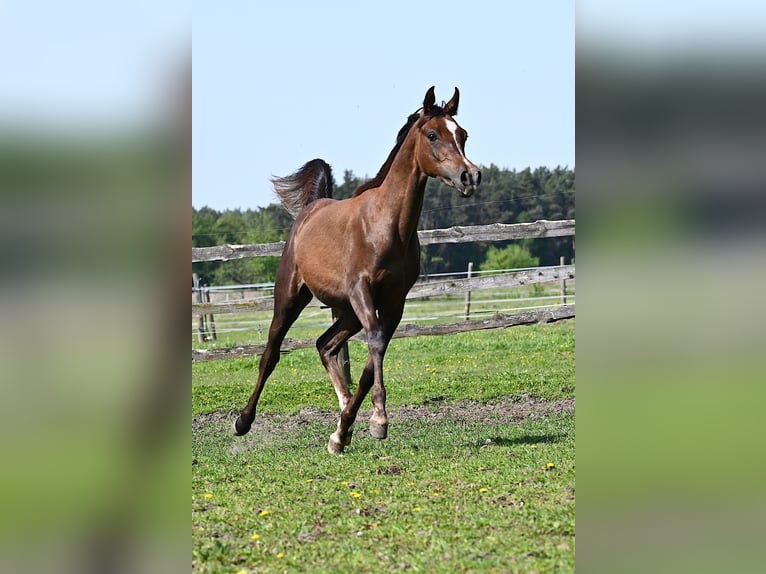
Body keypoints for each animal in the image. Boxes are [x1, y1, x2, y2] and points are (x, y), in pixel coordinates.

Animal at [232, 86, 480, 454]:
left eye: (463, 134)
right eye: (433, 135)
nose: (470, 176)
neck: (387, 225)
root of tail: (310, 209)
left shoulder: (393, 302)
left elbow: (374, 352)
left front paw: (345, 429)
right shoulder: (362, 290)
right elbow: (374, 341)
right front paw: (378, 420)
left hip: (346, 311)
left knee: (325, 345)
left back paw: (342, 423)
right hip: (291, 297)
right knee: (271, 353)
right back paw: (243, 421)